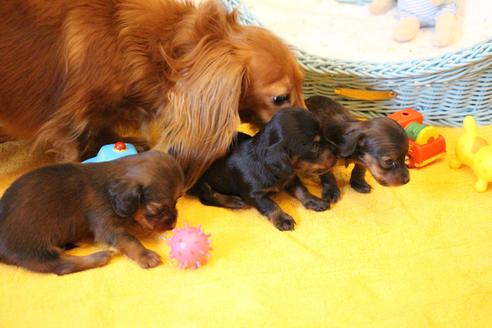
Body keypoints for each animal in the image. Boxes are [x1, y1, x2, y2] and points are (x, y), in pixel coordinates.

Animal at [0, 151, 184, 274]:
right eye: (159, 209)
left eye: (177, 201)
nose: (172, 226)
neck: (109, 188)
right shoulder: (107, 224)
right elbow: (129, 240)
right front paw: (145, 255)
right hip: (33, 247)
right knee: (62, 265)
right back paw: (99, 256)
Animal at [190, 107, 336, 231]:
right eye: (315, 147)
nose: (337, 153)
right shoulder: (254, 194)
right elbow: (270, 205)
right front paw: (282, 219)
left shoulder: (291, 178)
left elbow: (302, 191)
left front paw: (315, 201)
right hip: (202, 184)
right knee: (207, 198)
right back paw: (234, 201)